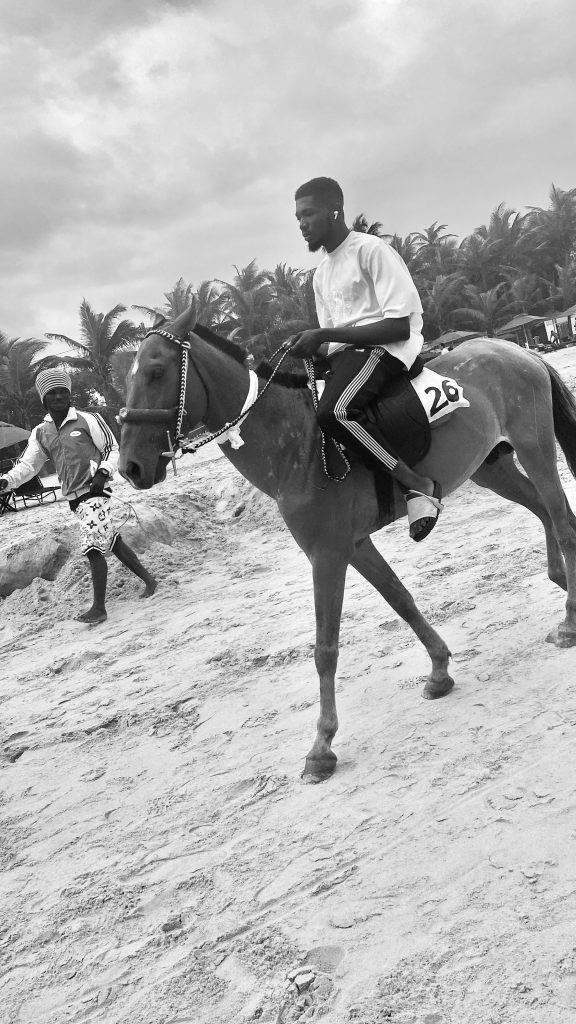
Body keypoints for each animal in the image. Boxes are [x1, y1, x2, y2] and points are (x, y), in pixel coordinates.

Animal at [117, 307, 576, 778]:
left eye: (156, 371)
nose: (129, 467)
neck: (297, 447)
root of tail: (510, 349)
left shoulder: (327, 555)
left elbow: (325, 648)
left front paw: (322, 745)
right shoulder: (355, 547)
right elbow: (402, 600)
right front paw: (439, 671)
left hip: (534, 448)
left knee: (562, 521)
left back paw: (569, 620)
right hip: (492, 466)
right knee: (547, 512)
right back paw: (562, 588)